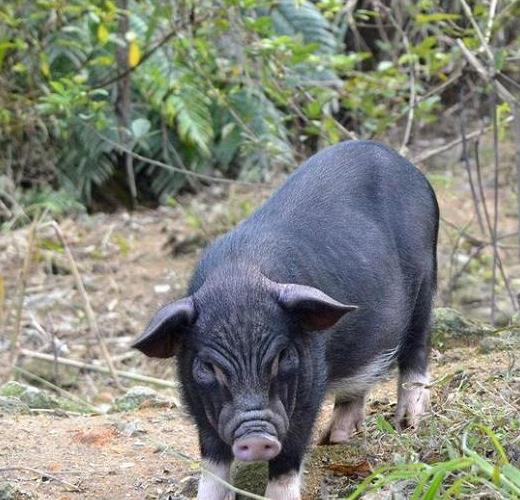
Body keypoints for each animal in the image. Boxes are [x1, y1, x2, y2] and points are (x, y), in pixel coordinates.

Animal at [133, 141, 438, 500]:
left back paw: (407, 423)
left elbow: (290, 452)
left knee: (416, 349)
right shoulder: (195, 399)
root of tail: (408, 166)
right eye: (209, 367)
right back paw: (335, 438)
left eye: (282, 356)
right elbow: (213, 459)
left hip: (426, 280)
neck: (240, 275)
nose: (256, 437)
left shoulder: (310, 383)